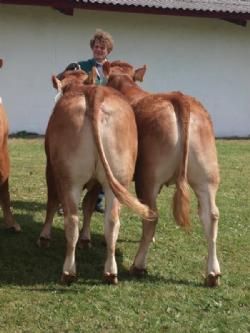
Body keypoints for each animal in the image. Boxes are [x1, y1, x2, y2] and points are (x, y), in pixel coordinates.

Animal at [37, 68, 154, 284]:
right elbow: (89, 205)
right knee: (112, 221)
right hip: (117, 179)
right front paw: (86, 239)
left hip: (69, 179)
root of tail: (95, 93)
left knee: (71, 220)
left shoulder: (51, 168)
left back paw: (68, 272)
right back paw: (110, 272)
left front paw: (44, 237)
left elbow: (52, 202)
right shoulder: (96, 183)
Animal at [105, 60, 221, 286]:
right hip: (207, 176)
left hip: (147, 178)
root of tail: (180, 98)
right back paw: (213, 273)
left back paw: (138, 266)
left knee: (151, 215)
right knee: (211, 215)